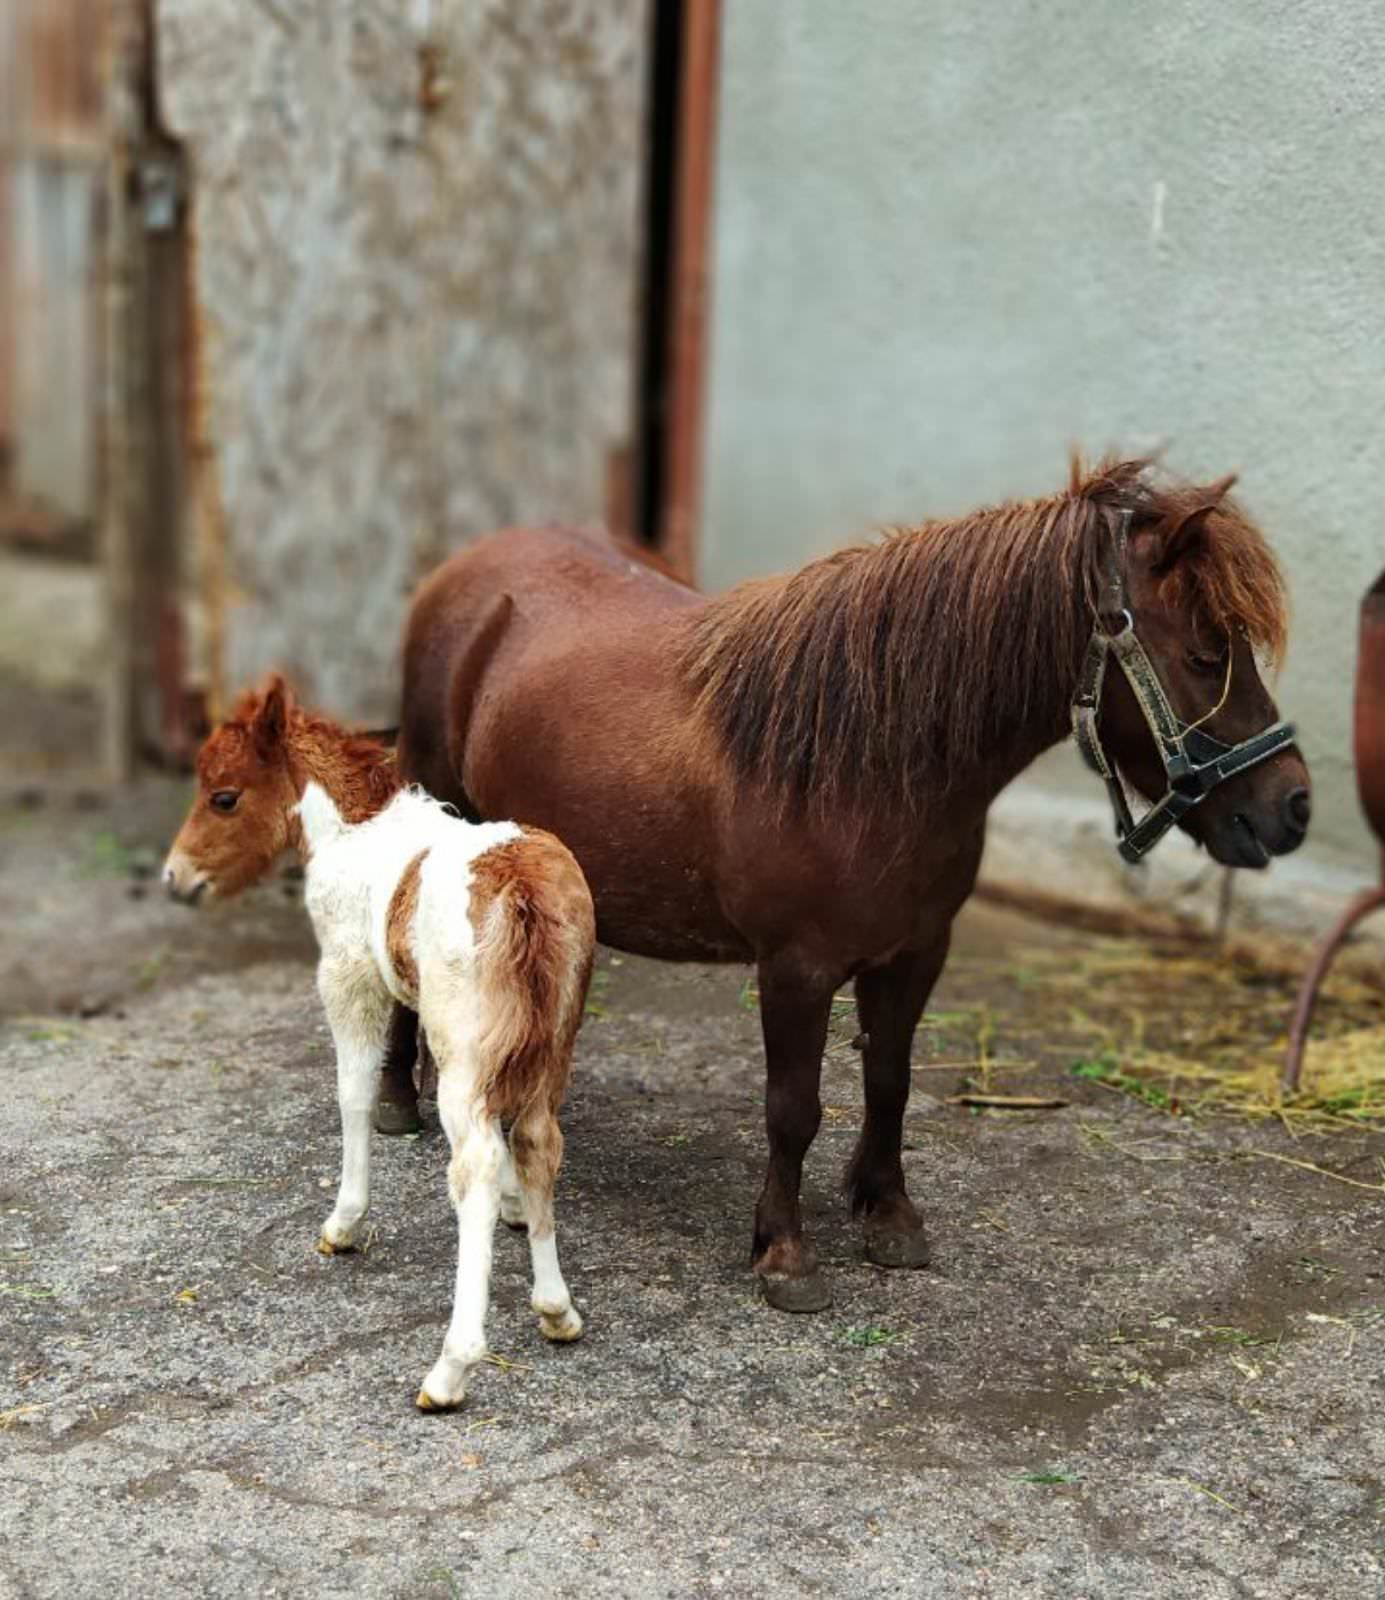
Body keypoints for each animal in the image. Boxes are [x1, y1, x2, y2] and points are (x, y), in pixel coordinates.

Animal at [163, 681, 594, 1408]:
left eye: (223, 796)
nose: (175, 878)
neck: (356, 833)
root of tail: (521, 888)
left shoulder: (349, 980)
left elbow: (355, 1093)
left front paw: (344, 1223)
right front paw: (515, 1209)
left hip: (465, 1047)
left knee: (473, 1163)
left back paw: (450, 1368)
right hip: (553, 1040)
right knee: (538, 1140)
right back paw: (556, 1310)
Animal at [383, 457, 1298, 1305]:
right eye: (1205, 654)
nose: (1290, 808)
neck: (866, 760)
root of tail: (465, 569)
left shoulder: (916, 952)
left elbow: (888, 1084)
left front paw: (887, 1215)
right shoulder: (796, 968)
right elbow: (794, 1109)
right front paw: (784, 1256)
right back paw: (399, 1105)